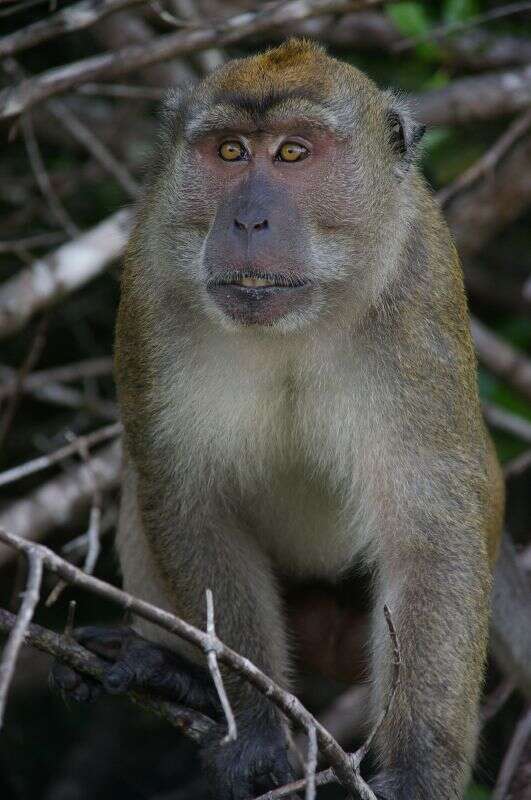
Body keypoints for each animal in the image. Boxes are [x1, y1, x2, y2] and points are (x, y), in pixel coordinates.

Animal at [53, 39, 508, 800]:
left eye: (294, 153)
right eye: (230, 152)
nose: (247, 220)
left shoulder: (418, 287)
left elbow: (430, 531)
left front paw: (419, 770)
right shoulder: (150, 280)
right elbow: (190, 499)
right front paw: (255, 725)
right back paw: (181, 678)